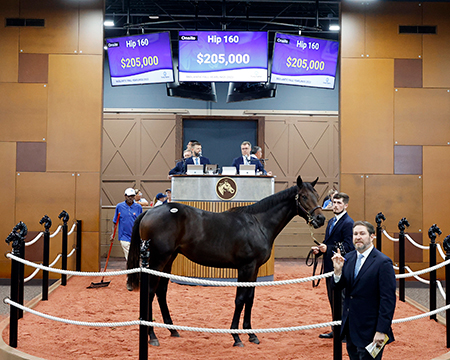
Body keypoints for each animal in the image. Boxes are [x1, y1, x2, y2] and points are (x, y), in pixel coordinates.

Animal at [125, 176, 324, 348]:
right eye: (304, 196)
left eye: (317, 195)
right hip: (158, 260)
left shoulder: (254, 269)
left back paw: (172, 330)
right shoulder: (246, 267)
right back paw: (152, 335)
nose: (320, 219)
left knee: (161, 291)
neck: (258, 223)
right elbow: (240, 299)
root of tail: (149, 212)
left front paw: (251, 334)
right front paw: (236, 337)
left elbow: (250, 299)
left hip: (169, 259)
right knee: (150, 291)